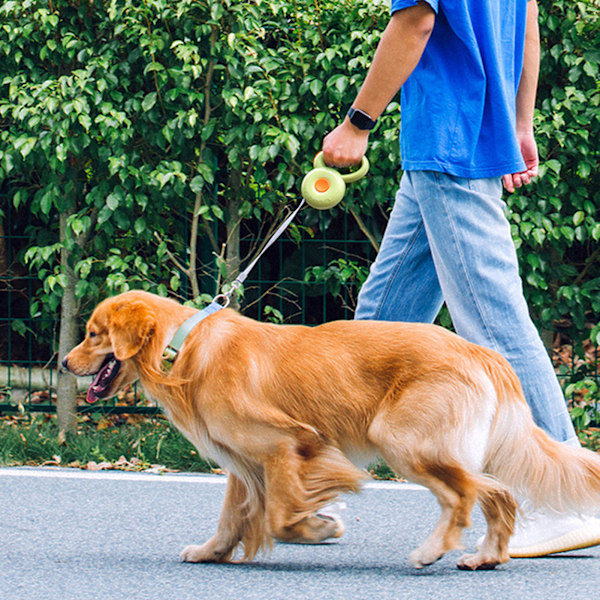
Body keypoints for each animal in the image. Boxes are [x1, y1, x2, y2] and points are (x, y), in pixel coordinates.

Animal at [63, 290, 600, 572]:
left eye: (92, 334)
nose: (65, 363)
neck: (182, 348)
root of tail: (482, 352)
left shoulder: (286, 444)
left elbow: (280, 515)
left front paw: (315, 526)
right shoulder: (243, 461)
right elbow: (232, 517)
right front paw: (211, 552)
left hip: (402, 440)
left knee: (464, 494)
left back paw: (433, 550)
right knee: (497, 492)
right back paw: (486, 556)